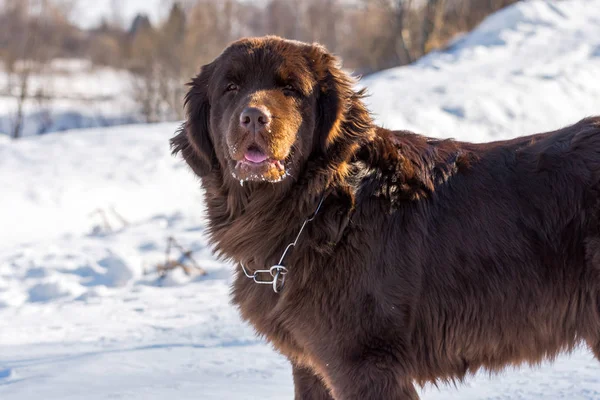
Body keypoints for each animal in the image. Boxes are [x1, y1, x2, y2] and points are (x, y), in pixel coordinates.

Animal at [170, 36, 600, 398]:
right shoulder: (310, 366)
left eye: (291, 89)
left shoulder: (366, 362)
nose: (254, 117)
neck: (320, 207)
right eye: (230, 88)